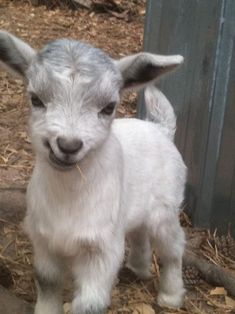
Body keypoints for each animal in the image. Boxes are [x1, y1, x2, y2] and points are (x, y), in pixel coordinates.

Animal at [0, 31, 187, 314]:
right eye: (35, 99)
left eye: (109, 107)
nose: (68, 145)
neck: (68, 197)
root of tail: (160, 129)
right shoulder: (44, 241)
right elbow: (47, 282)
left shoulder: (101, 250)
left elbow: (90, 304)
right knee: (139, 232)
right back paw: (138, 268)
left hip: (165, 209)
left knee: (173, 247)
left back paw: (171, 296)